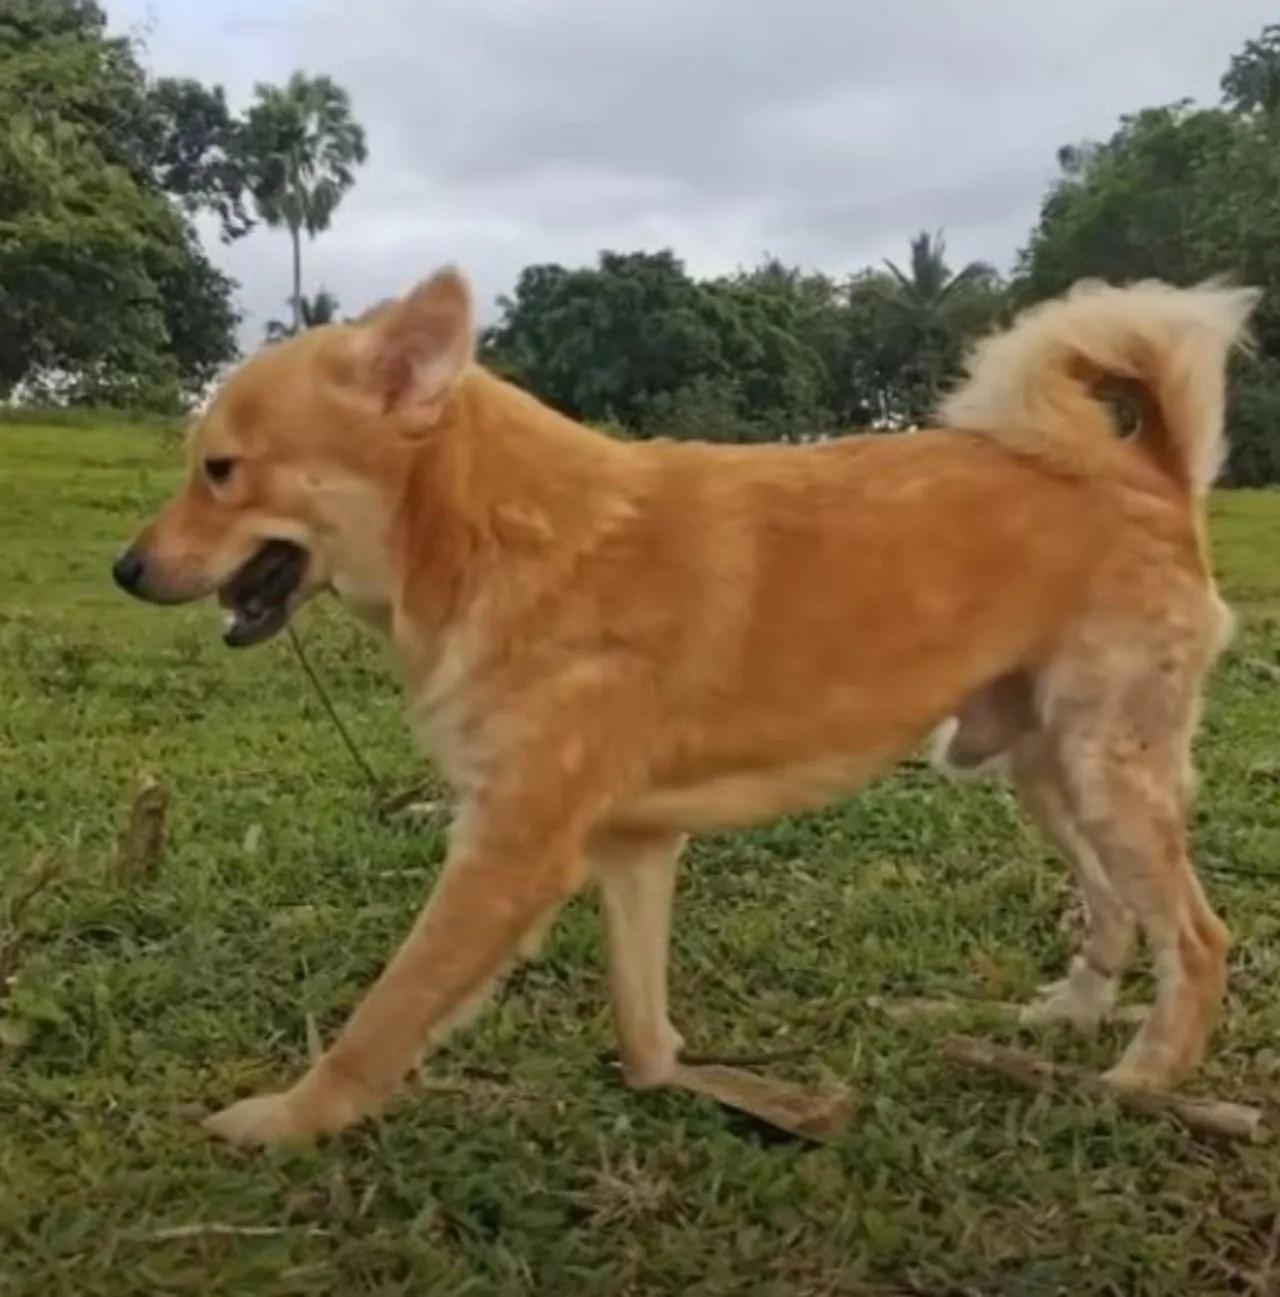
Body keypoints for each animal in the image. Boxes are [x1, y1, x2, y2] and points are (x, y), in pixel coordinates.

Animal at [112, 263, 1260, 1146]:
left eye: (220, 470)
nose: (124, 570)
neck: (496, 539)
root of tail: (1147, 468)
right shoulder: (632, 848)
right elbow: (642, 1030)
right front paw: (706, 1088)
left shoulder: (507, 855)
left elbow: (384, 1019)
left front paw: (289, 1119)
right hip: (1045, 771)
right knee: (1117, 912)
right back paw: (1066, 1019)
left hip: (1106, 771)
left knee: (1197, 939)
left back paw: (1139, 1083)